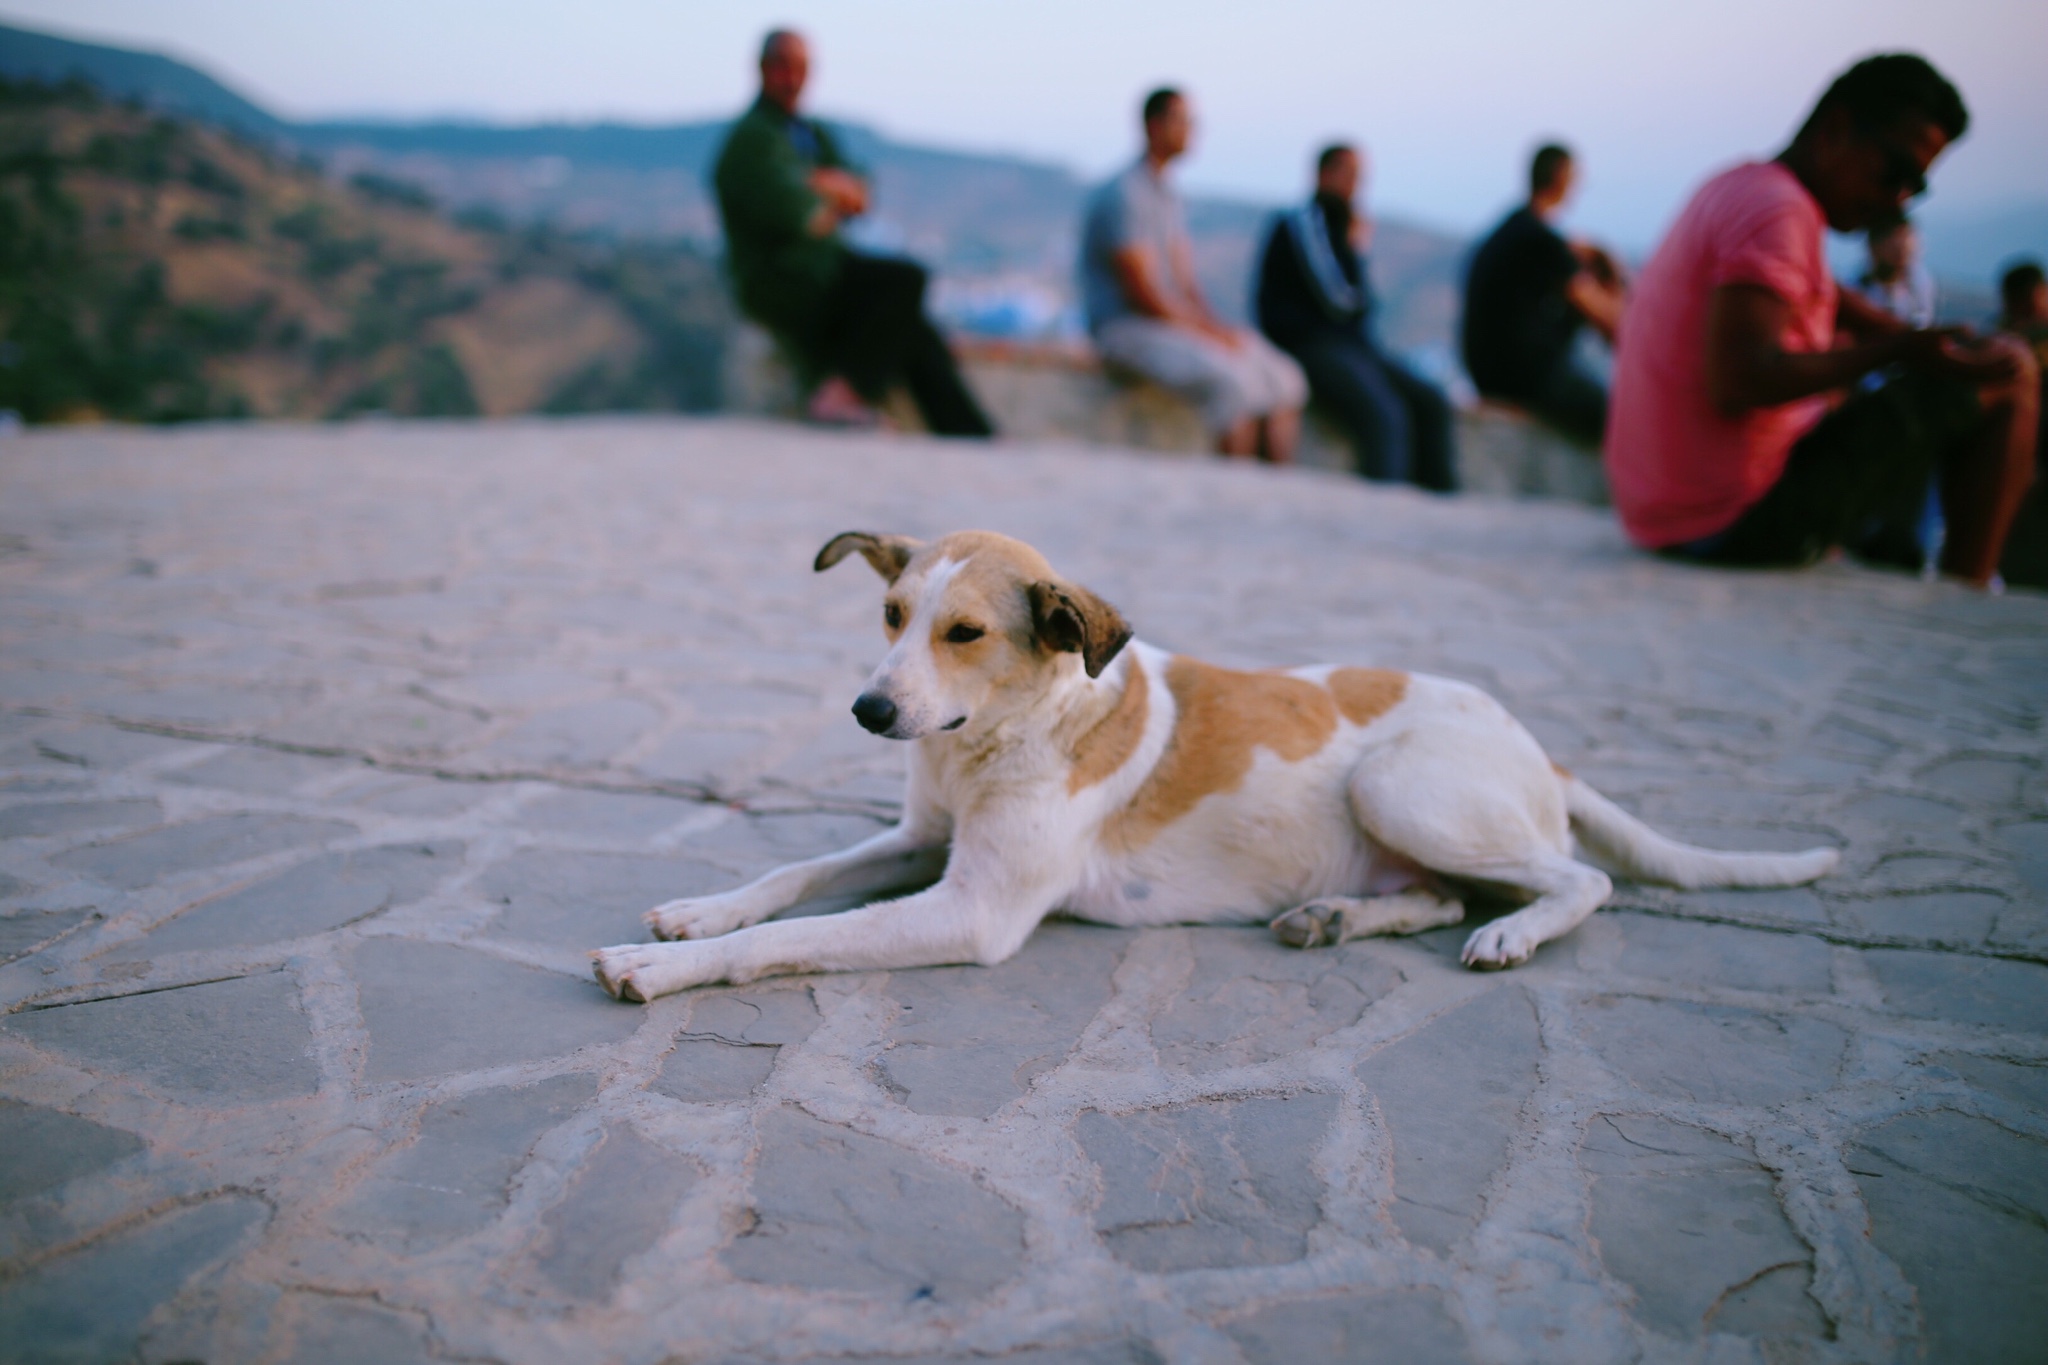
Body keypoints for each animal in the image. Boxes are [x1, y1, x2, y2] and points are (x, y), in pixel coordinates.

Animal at [593, 532, 1843, 1002]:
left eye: (963, 633)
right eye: (892, 615)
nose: (866, 709)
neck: (1000, 736)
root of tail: (1537, 744)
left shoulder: (974, 908)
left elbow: (797, 935)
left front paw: (658, 968)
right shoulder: (919, 840)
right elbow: (792, 880)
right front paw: (698, 910)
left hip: (1401, 785)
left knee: (1579, 879)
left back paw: (1510, 936)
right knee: (1444, 893)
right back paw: (1336, 918)